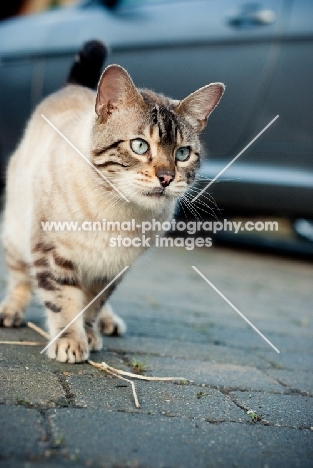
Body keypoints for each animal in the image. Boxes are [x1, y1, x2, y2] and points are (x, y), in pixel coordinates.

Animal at [0, 41, 224, 362]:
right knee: (20, 278)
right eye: (140, 146)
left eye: (182, 154)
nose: (167, 178)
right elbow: (63, 301)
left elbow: (91, 304)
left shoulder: (111, 267)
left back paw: (107, 324)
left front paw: (89, 333)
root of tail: (74, 88)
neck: (117, 209)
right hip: (16, 233)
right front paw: (70, 342)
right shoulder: (52, 252)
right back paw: (11, 311)